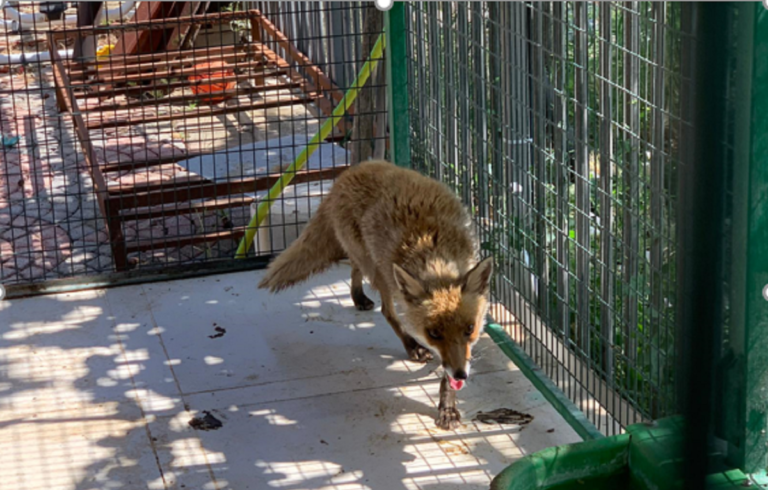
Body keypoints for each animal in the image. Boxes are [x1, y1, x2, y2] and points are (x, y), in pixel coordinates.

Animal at [260, 161, 496, 428]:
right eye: (434, 333)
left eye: (470, 329)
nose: (461, 374)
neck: (436, 257)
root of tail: (351, 171)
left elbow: (447, 375)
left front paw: (448, 407)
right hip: (379, 271)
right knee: (385, 309)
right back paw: (409, 345)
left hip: (368, 262)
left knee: (353, 266)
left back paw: (357, 296)